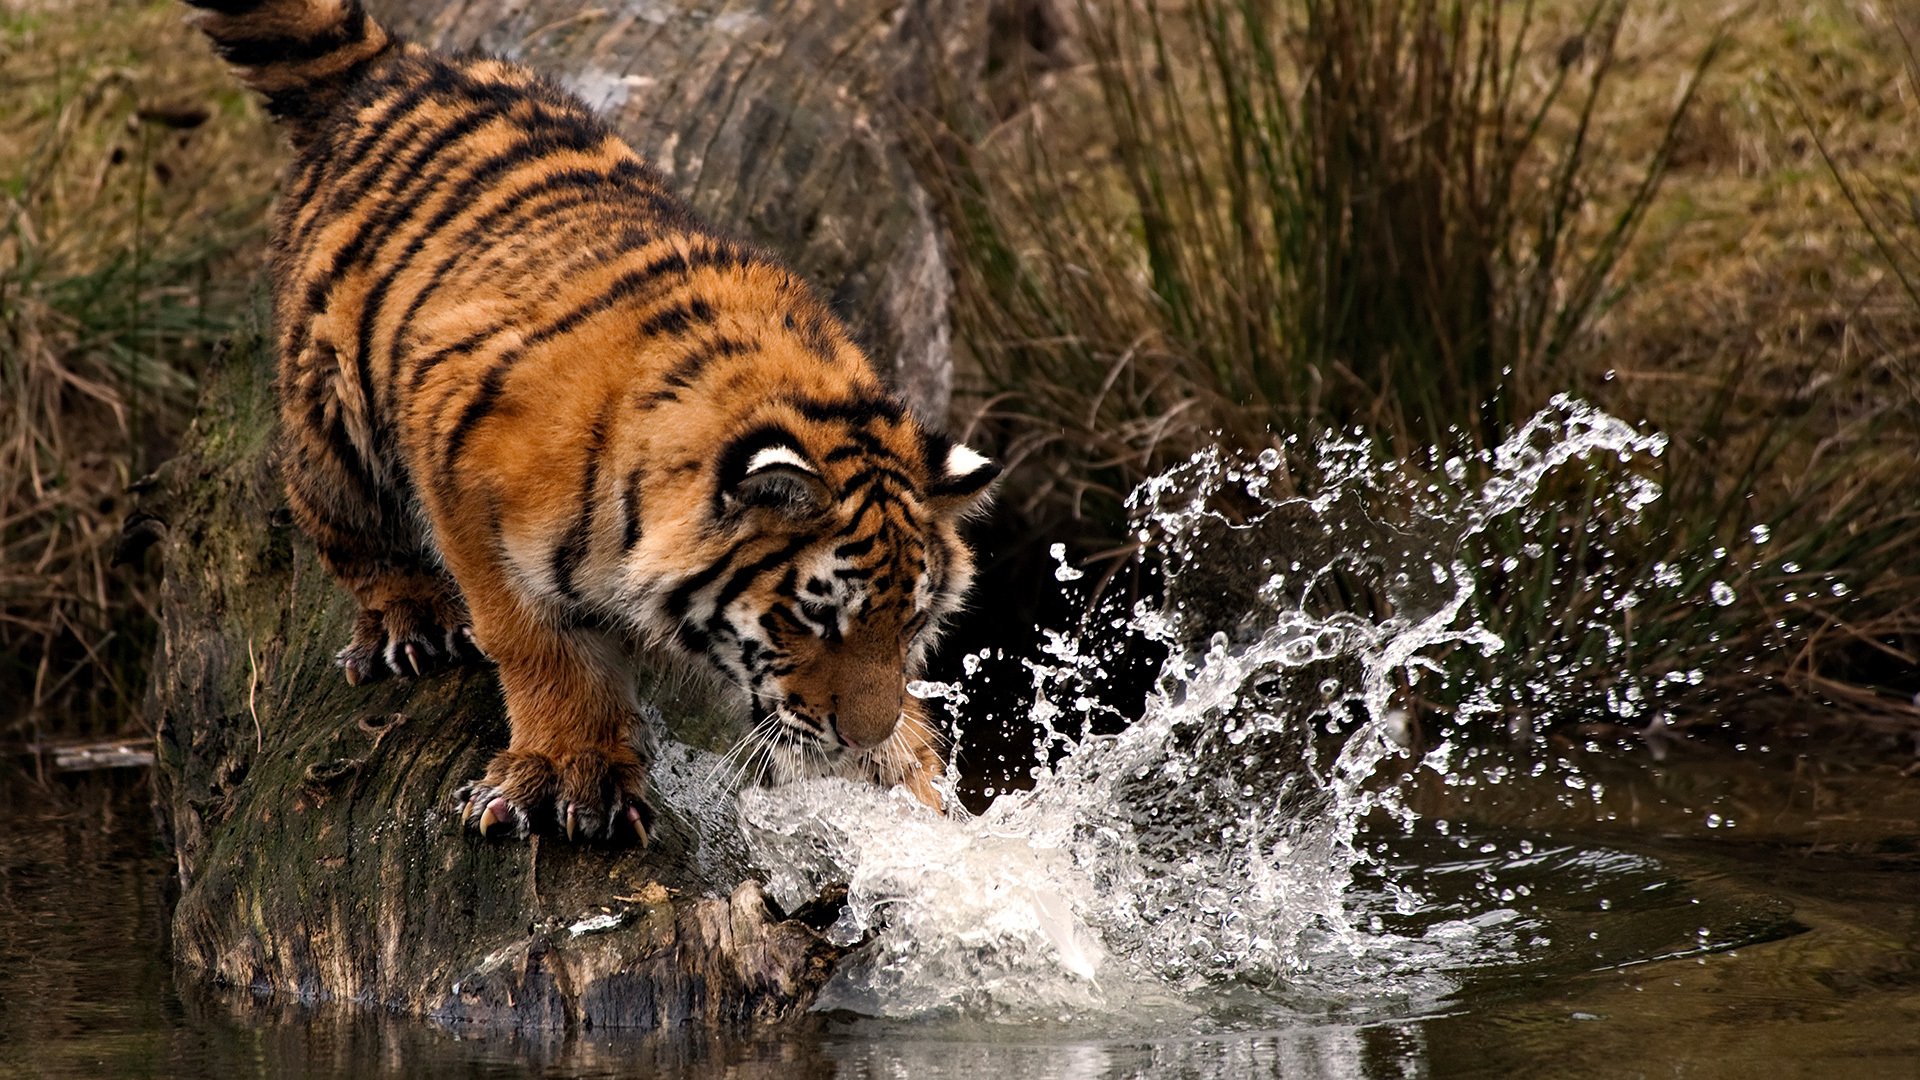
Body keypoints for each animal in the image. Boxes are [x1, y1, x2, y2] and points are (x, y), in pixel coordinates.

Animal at [185, 0, 998, 844]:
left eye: (910, 623)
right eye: (816, 617)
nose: (862, 736)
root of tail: (397, 61)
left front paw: (916, 785)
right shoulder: (465, 475)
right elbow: (540, 646)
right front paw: (570, 772)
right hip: (333, 411)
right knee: (340, 519)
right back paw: (411, 621)